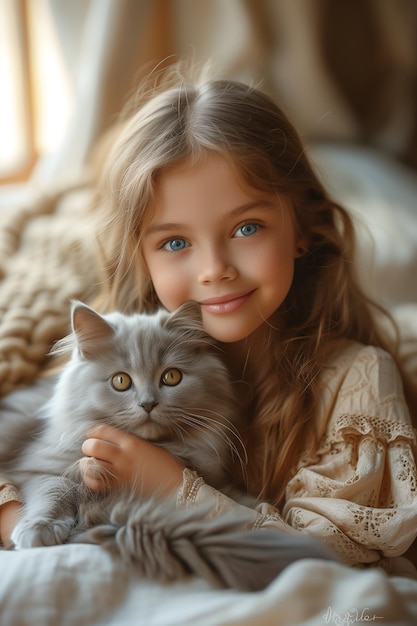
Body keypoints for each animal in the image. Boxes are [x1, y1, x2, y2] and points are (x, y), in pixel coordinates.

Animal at [0, 300, 334, 588]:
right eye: (120, 381)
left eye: (171, 377)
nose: (148, 403)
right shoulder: (40, 466)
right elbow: (52, 494)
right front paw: (38, 530)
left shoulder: (213, 479)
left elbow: (237, 503)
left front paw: (268, 516)